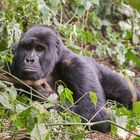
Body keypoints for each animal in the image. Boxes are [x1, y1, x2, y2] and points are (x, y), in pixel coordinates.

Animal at [11, 24, 140, 133]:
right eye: (27, 47)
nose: (29, 59)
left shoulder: (77, 66)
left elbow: (95, 111)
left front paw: (42, 94)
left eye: (39, 48)